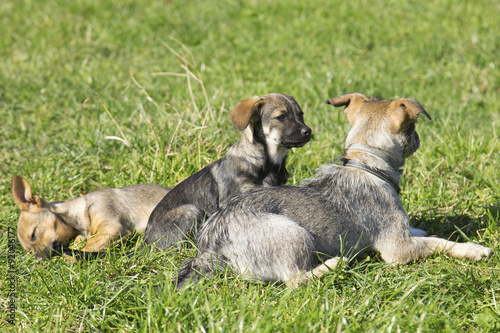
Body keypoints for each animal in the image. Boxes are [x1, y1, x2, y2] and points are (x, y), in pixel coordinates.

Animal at [143, 92, 310, 248]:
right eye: (281, 117)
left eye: (301, 114)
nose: (308, 131)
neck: (269, 163)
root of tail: (145, 240)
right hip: (190, 211)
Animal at [177, 92, 492, 286]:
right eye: (413, 129)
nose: (417, 139)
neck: (367, 165)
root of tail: (209, 247)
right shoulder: (397, 249)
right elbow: (440, 243)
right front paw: (473, 249)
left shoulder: (398, 233)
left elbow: (422, 232)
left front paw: (422, 229)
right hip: (292, 233)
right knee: (294, 281)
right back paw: (334, 265)